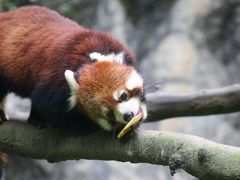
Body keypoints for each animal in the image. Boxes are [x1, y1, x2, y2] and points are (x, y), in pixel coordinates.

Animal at [0, 5, 147, 132]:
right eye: (109, 114)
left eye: (123, 95)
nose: (128, 115)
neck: (82, 62)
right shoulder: (54, 87)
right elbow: (46, 106)